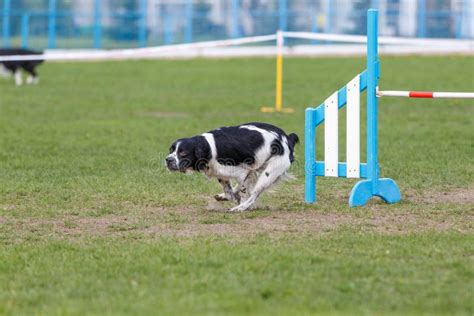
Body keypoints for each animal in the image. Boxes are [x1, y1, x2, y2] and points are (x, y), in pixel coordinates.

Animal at [167, 122, 298, 211]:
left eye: (183, 152)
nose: (168, 160)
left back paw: (240, 208)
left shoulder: (243, 172)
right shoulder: (224, 175)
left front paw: (241, 204)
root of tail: (287, 138)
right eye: (171, 150)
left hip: (269, 173)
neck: (209, 148)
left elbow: (245, 192)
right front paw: (230, 197)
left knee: (254, 194)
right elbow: (229, 192)